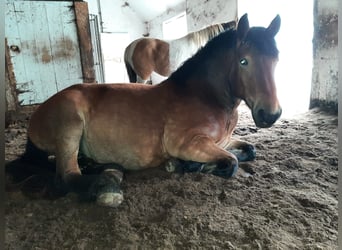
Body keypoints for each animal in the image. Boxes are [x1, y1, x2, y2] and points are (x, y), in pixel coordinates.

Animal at [11, 14, 284, 208]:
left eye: (276, 59)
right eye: (243, 61)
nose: (270, 115)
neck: (203, 96)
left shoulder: (222, 141)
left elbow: (249, 150)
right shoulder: (188, 143)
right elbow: (232, 162)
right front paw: (189, 165)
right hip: (70, 126)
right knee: (68, 176)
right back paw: (107, 187)